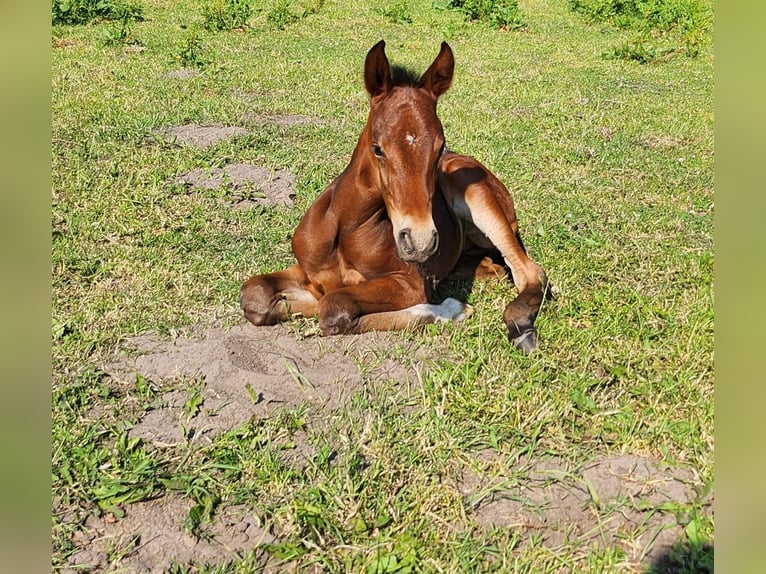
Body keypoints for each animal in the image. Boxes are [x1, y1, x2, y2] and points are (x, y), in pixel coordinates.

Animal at [240, 40, 550, 353]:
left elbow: (334, 306)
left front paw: (452, 310)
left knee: (529, 271)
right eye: (378, 148)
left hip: (481, 200)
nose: (420, 241)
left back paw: (521, 328)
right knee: (494, 267)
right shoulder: (307, 271)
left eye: (440, 147)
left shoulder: (409, 284)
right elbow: (254, 295)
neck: (345, 231)